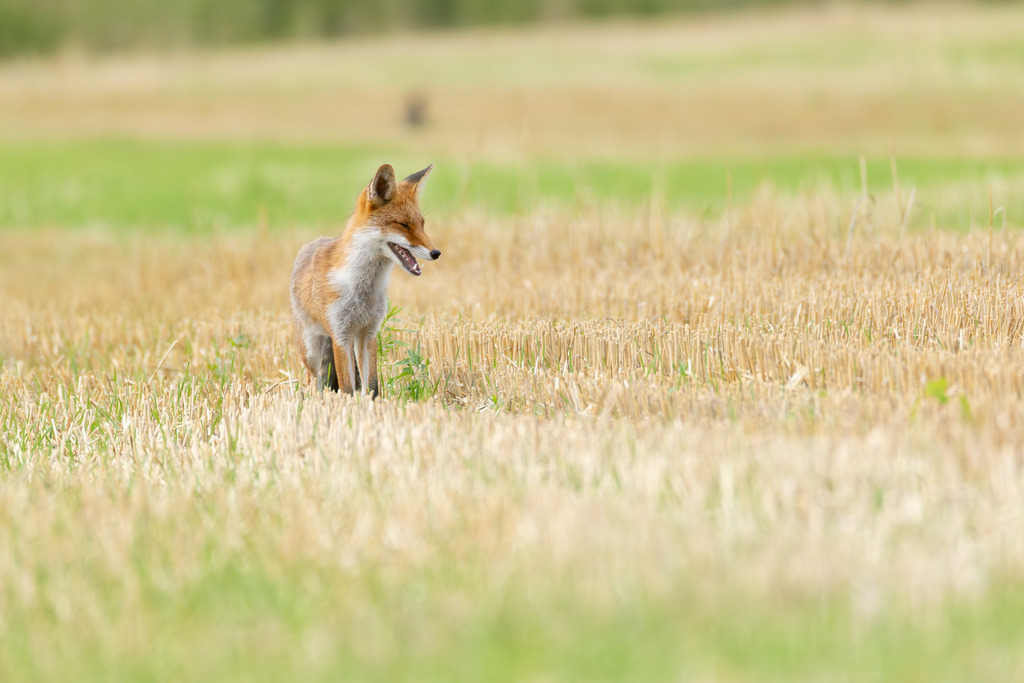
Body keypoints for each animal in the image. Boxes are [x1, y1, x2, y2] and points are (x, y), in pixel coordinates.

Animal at [290, 163, 440, 398]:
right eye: (403, 224)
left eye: (422, 224)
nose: (436, 253)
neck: (362, 289)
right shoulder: (340, 335)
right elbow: (347, 388)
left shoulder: (368, 333)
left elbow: (372, 386)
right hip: (311, 348)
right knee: (314, 379)